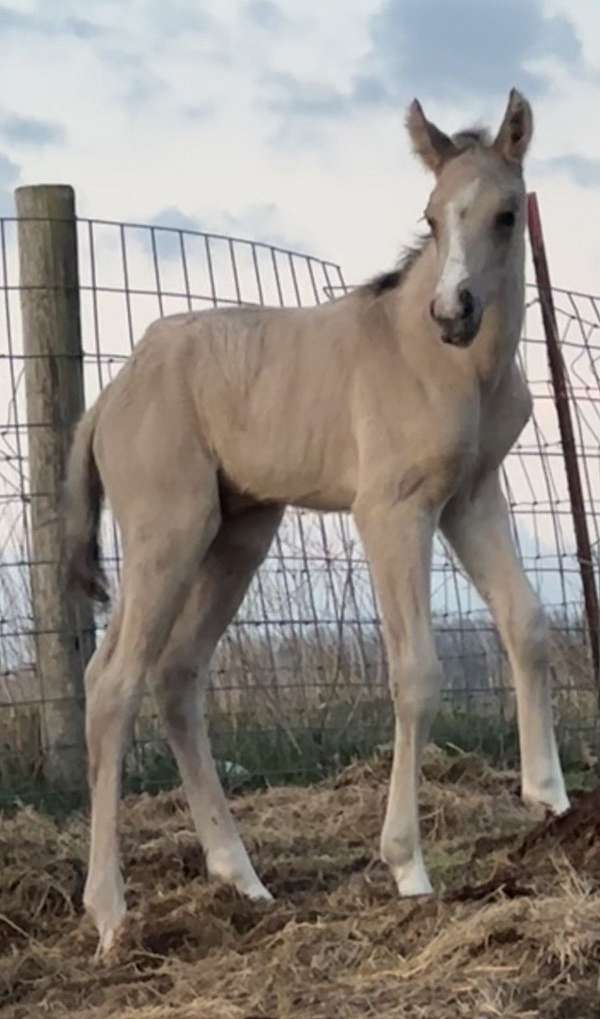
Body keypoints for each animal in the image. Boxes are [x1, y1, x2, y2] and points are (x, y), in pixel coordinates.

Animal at [65, 88, 569, 958]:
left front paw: (552, 799)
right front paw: (407, 865)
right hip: (169, 529)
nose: (452, 311)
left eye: (507, 215)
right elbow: (415, 670)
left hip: (238, 533)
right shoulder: (393, 508)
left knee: (176, 674)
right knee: (113, 682)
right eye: (432, 216)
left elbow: (527, 622)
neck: (450, 366)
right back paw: (110, 912)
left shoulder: (471, 496)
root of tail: (113, 393)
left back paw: (242, 877)